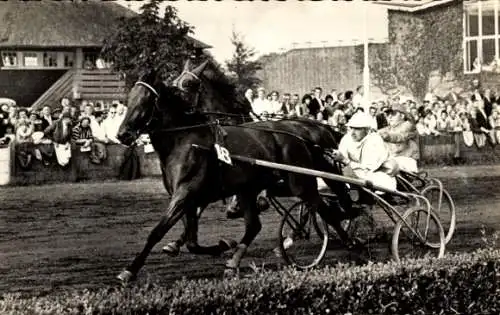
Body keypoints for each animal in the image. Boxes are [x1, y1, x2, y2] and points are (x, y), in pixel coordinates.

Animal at [116, 69, 352, 284]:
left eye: (145, 99)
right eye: (129, 99)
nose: (122, 135)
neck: (185, 141)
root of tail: (305, 133)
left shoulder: (185, 194)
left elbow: (157, 232)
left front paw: (129, 270)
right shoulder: (189, 197)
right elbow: (192, 241)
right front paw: (221, 245)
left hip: (302, 182)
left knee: (327, 207)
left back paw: (349, 241)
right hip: (249, 189)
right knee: (257, 225)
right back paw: (235, 262)